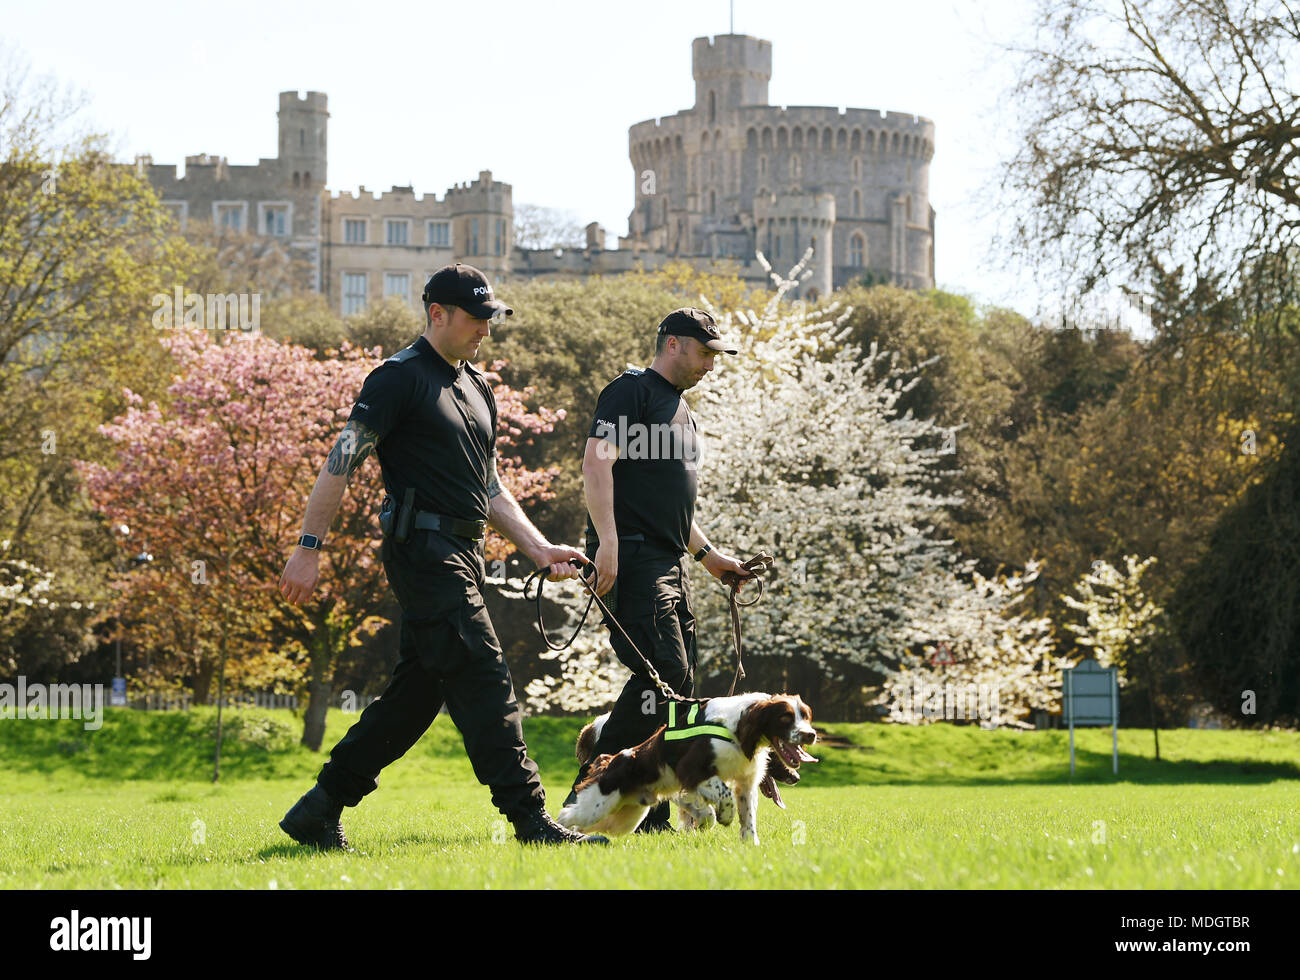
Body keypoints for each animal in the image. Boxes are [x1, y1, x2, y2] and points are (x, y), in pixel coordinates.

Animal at [556, 691, 816, 842]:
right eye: (785, 718)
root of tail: (608, 760)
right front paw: (721, 816)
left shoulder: (745, 784)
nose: (811, 735)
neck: (737, 726)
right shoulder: (690, 770)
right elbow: (722, 797)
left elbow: (746, 820)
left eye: (806, 716)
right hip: (598, 805)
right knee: (567, 815)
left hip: (625, 817)